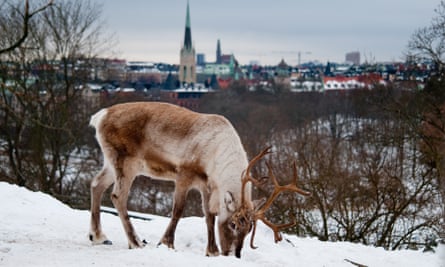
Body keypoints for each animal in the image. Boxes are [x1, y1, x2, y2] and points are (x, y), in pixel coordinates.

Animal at [86, 101, 308, 258]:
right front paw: (166, 243)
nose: (234, 254)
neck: (215, 156)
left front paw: (212, 251)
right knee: (117, 196)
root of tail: (98, 117)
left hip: (111, 162)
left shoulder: (206, 184)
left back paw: (98, 236)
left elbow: (209, 215)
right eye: (233, 224)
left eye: (249, 229)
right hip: (126, 161)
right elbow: (178, 210)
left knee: (96, 184)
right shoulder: (184, 173)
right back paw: (136, 242)